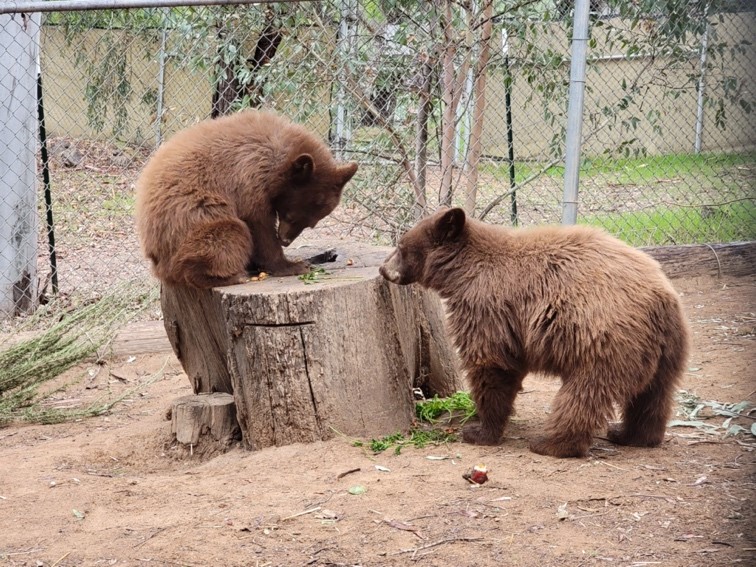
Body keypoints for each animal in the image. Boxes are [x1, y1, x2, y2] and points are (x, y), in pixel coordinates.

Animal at [135, 110, 358, 288]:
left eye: (310, 224)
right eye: (291, 216)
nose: (285, 241)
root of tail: (155, 258)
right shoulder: (248, 181)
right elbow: (259, 225)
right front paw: (292, 265)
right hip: (193, 225)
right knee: (230, 235)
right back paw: (231, 276)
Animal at [379, 207, 690, 458]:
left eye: (401, 245)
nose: (383, 268)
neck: (460, 273)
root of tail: (662, 299)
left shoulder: (486, 306)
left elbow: (491, 364)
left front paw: (479, 430)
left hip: (602, 339)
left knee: (585, 393)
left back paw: (552, 444)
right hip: (665, 349)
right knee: (654, 395)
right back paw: (631, 435)